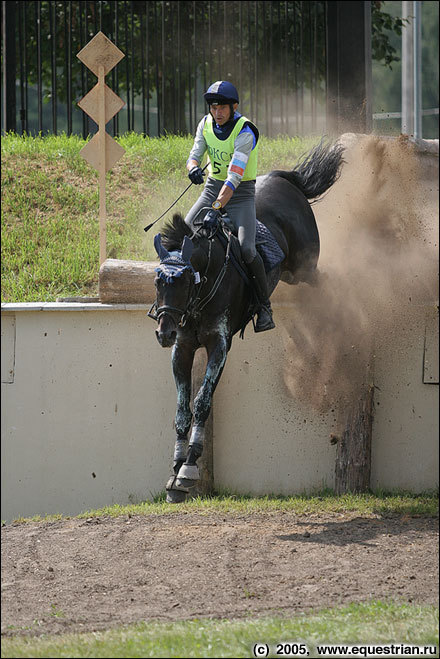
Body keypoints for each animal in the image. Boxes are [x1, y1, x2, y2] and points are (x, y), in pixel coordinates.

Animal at [150, 138, 346, 500]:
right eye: (158, 280)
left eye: (184, 281)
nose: (164, 333)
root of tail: (286, 180)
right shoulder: (182, 349)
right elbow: (183, 411)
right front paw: (174, 473)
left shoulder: (219, 345)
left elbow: (202, 402)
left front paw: (188, 470)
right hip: (293, 274)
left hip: (304, 267)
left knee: (322, 280)